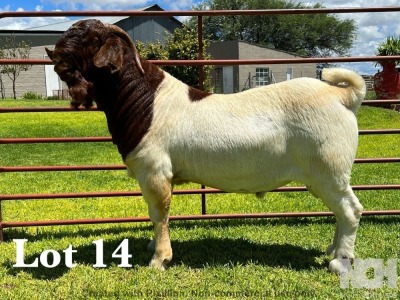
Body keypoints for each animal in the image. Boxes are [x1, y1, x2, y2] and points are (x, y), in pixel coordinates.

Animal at [46, 18, 366, 272]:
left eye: (91, 39)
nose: (54, 54)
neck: (146, 101)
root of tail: (341, 96)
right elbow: (154, 214)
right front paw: (153, 246)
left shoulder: (154, 171)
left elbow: (159, 213)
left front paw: (159, 259)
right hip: (322, 174)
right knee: (340, 210)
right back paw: (332, 250)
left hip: (328, 167)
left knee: (351, 210)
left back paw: (340, 262)